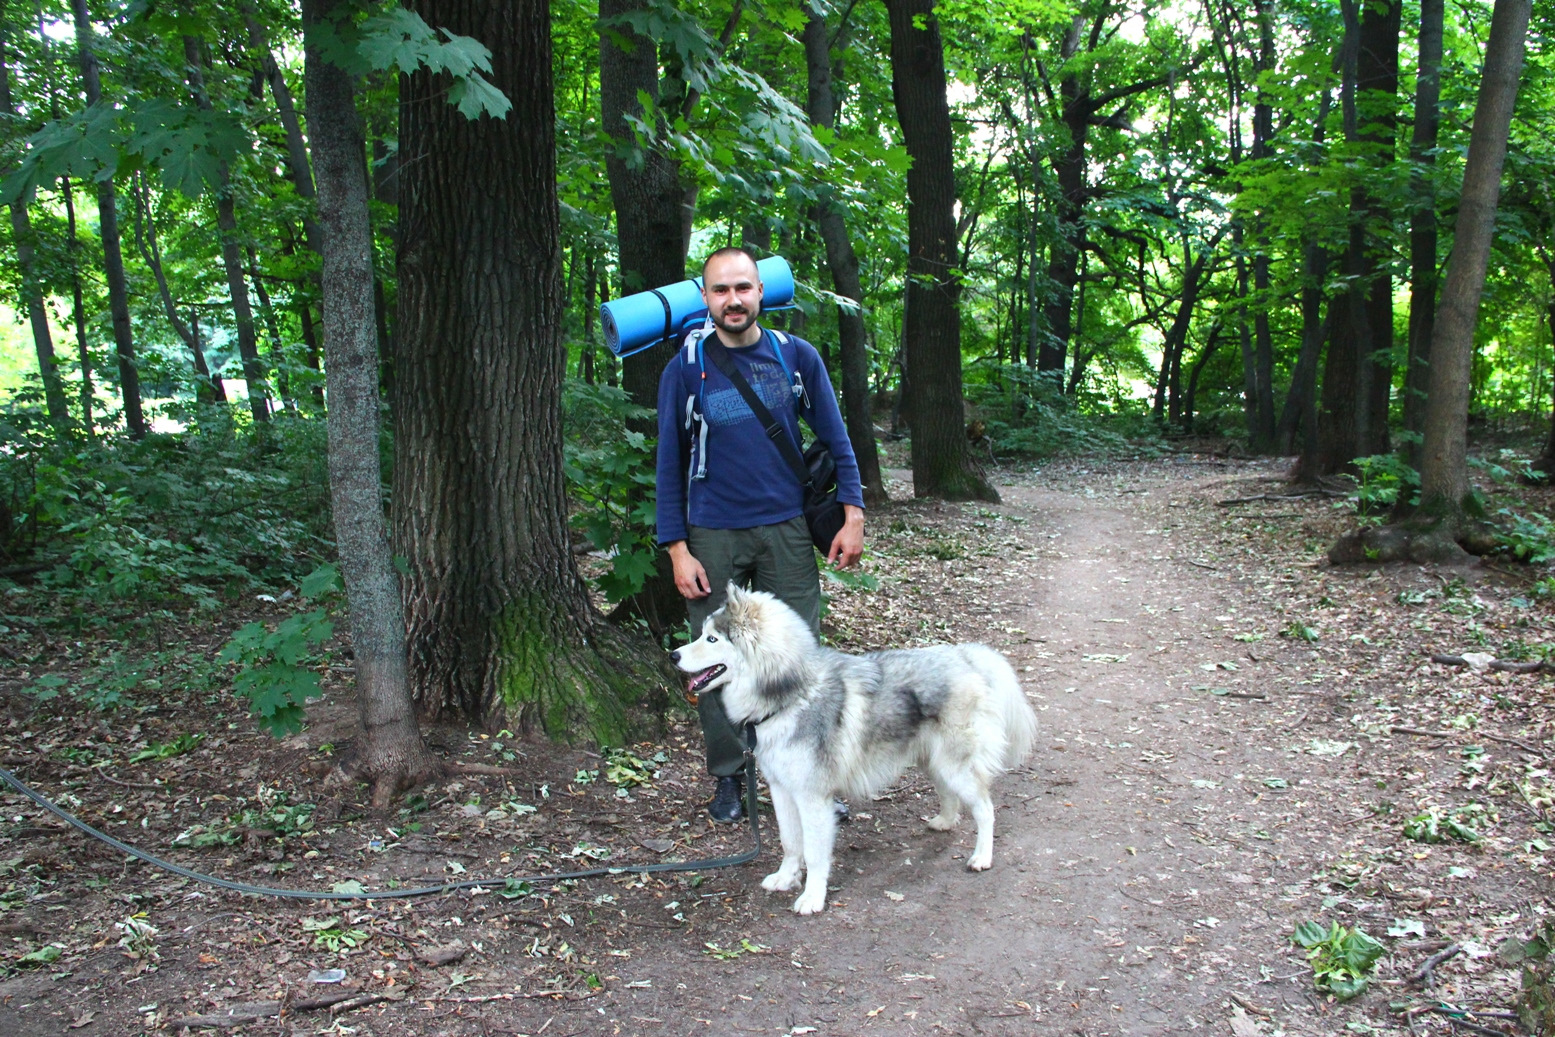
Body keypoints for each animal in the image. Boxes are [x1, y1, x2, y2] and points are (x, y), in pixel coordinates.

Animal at [674, 584, 1038, 914]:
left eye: (711, 639)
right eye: (703, 635)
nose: (673, 655)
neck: (793, 694)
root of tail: (965, 655)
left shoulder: (812, 797)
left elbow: (815, 853)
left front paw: (812, 897)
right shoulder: (782, 789)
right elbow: (790, 842)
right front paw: (786, 877)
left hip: (955, 765)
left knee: (986, 809)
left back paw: (982, 856)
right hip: (933, 760)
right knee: (949, 794)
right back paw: (944, 822)